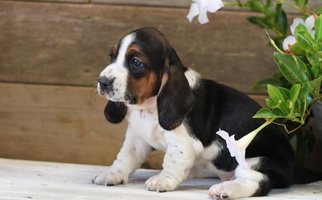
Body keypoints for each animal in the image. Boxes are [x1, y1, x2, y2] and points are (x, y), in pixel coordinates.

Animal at [92, 27, 320, 200]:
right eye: (112, 56)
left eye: (135, 62)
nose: (103, 82)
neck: (148, 105)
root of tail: (294, 161)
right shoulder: (137, 139)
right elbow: (125, 158)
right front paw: (111, 174)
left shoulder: (183, 142)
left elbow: (172, 161)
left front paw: (162, 180)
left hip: (257, 161)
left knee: (257, 182)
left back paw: (226, 189)